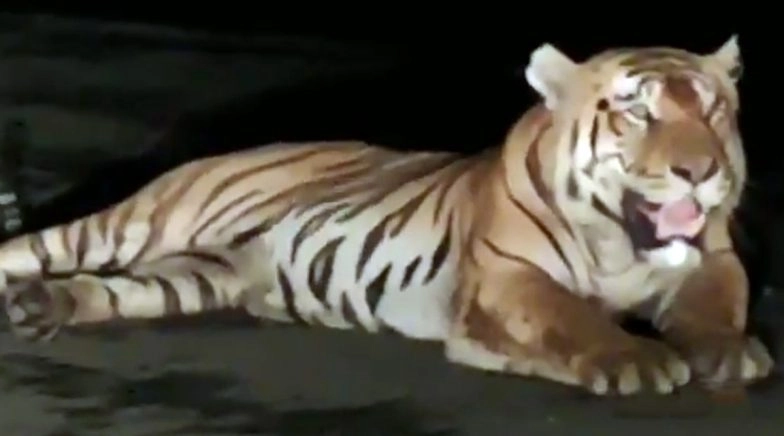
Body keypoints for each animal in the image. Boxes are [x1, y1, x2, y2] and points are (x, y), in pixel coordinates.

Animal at [0, 35, 774, 396]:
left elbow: (715, 305)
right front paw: (634, 361)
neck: (621, 242)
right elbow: (569, 314)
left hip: (191, 275)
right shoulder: (509, 277)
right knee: (32, 247)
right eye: (637, 110)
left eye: (710, 108)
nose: (699, 170)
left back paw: (37, 308)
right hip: (129, 224)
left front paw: (728, 352)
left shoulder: (714, 259)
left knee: (104, 290)